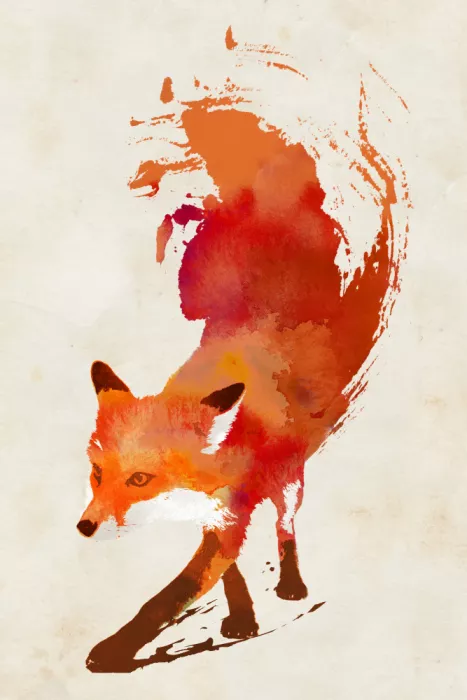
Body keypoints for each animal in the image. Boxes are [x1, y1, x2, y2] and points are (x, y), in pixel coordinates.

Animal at [77, 81, 406, 672]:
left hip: (291, 478)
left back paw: (292, 581)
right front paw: (241, 615)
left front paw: (114, 649)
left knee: (287, 523)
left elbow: (168, 597)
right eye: (97, 473)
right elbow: (227, 572)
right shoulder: (218, 516)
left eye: (140, 479)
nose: (84, 526)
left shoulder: (233, 511)